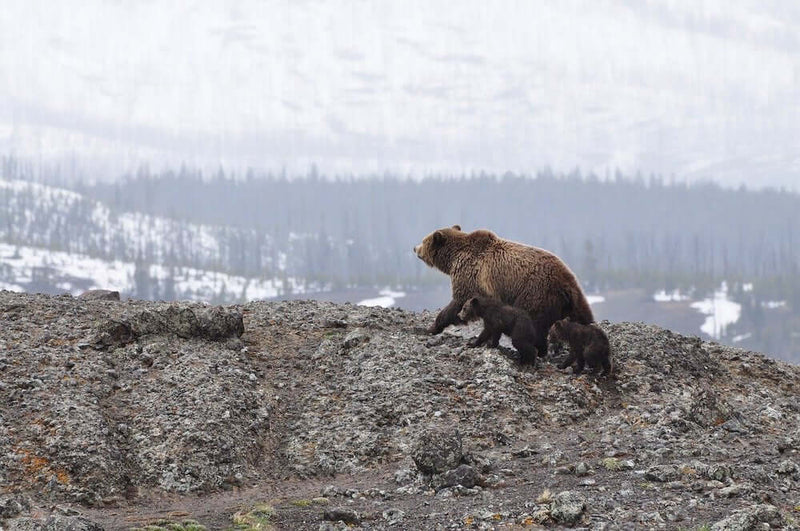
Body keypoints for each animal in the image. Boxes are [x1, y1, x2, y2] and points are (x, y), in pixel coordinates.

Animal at [413, 225, 594, 358]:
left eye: (424, 240)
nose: (415, 247)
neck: (453, 259)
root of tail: (566, 282)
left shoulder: (470, 276)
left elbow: (457, 302)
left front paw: (431, 327)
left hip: (535, 293)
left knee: (534, 324)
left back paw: (537, 350)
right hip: (571, 300)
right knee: (582, 316)